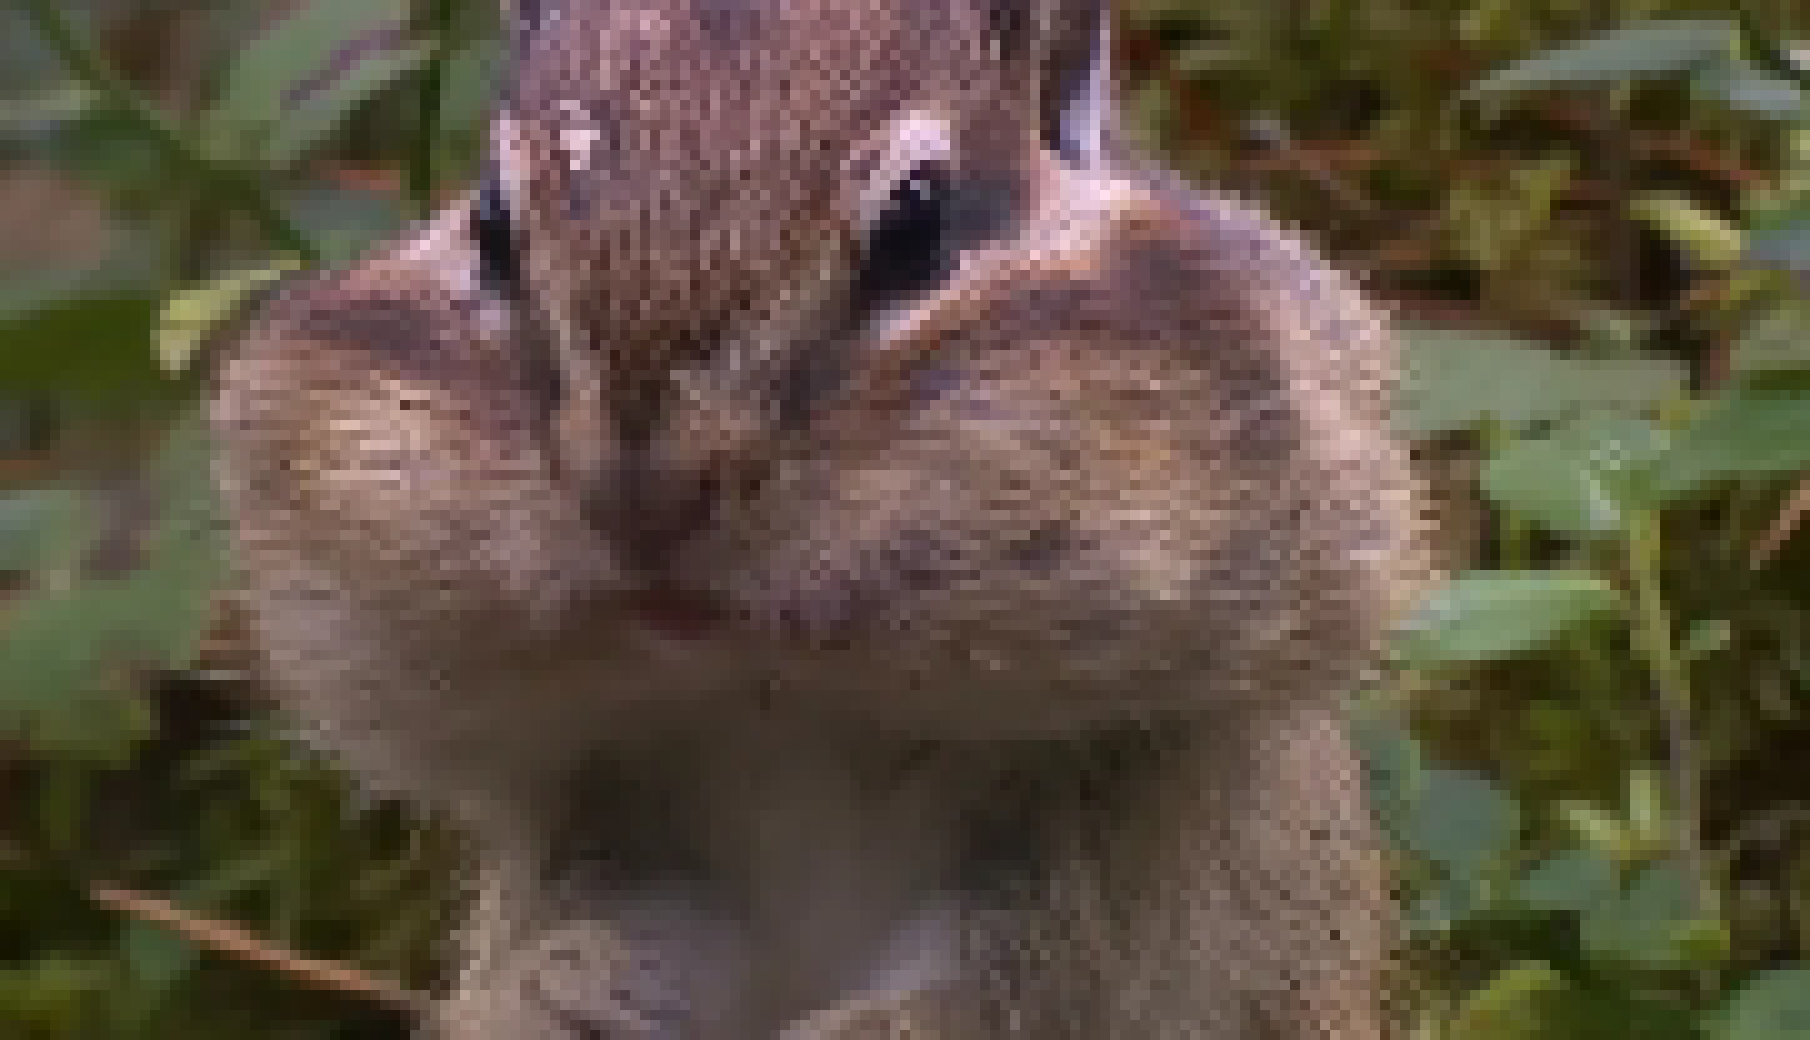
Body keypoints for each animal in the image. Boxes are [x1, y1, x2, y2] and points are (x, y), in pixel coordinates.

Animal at [209, 1, 1435, 1037]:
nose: (640, 497)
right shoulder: (611, 807)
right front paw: (566, 991)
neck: (785, 704)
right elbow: (586, 937)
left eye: (916, 220)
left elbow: (1014, 985)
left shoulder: (1107, 817)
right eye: (492, 223)